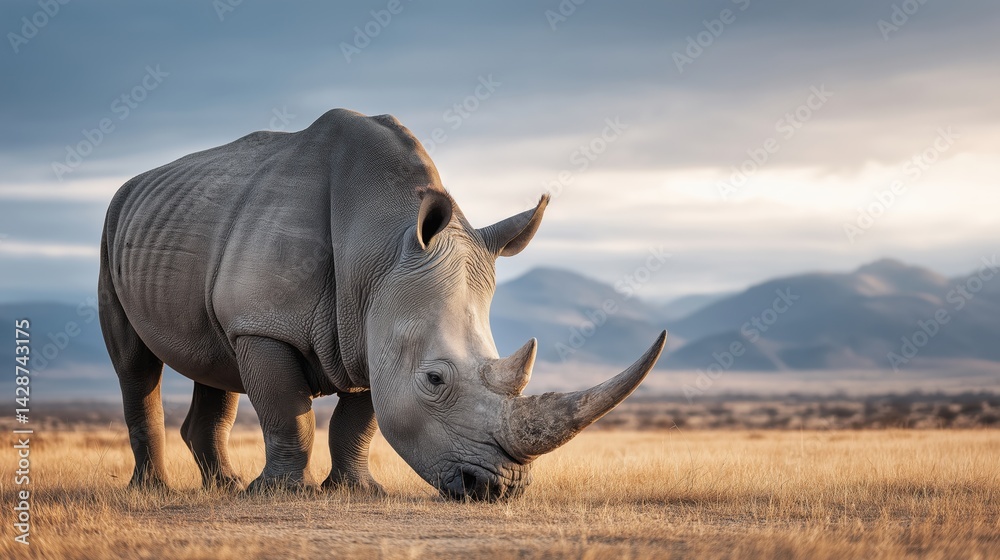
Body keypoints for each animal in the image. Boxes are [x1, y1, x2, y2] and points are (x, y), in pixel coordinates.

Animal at [98, 109, 666, 501]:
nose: (500, 488)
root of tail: (134, 184)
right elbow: (287, 412)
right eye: (435, 379)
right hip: (112, 227)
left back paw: (225, 488)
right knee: (135, 366)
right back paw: (157, 491)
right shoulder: (265, 324)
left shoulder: (374, 327)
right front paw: (282, 494)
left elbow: (359, 421)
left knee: (215, 361)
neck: (380, 242)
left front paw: (356, 491)